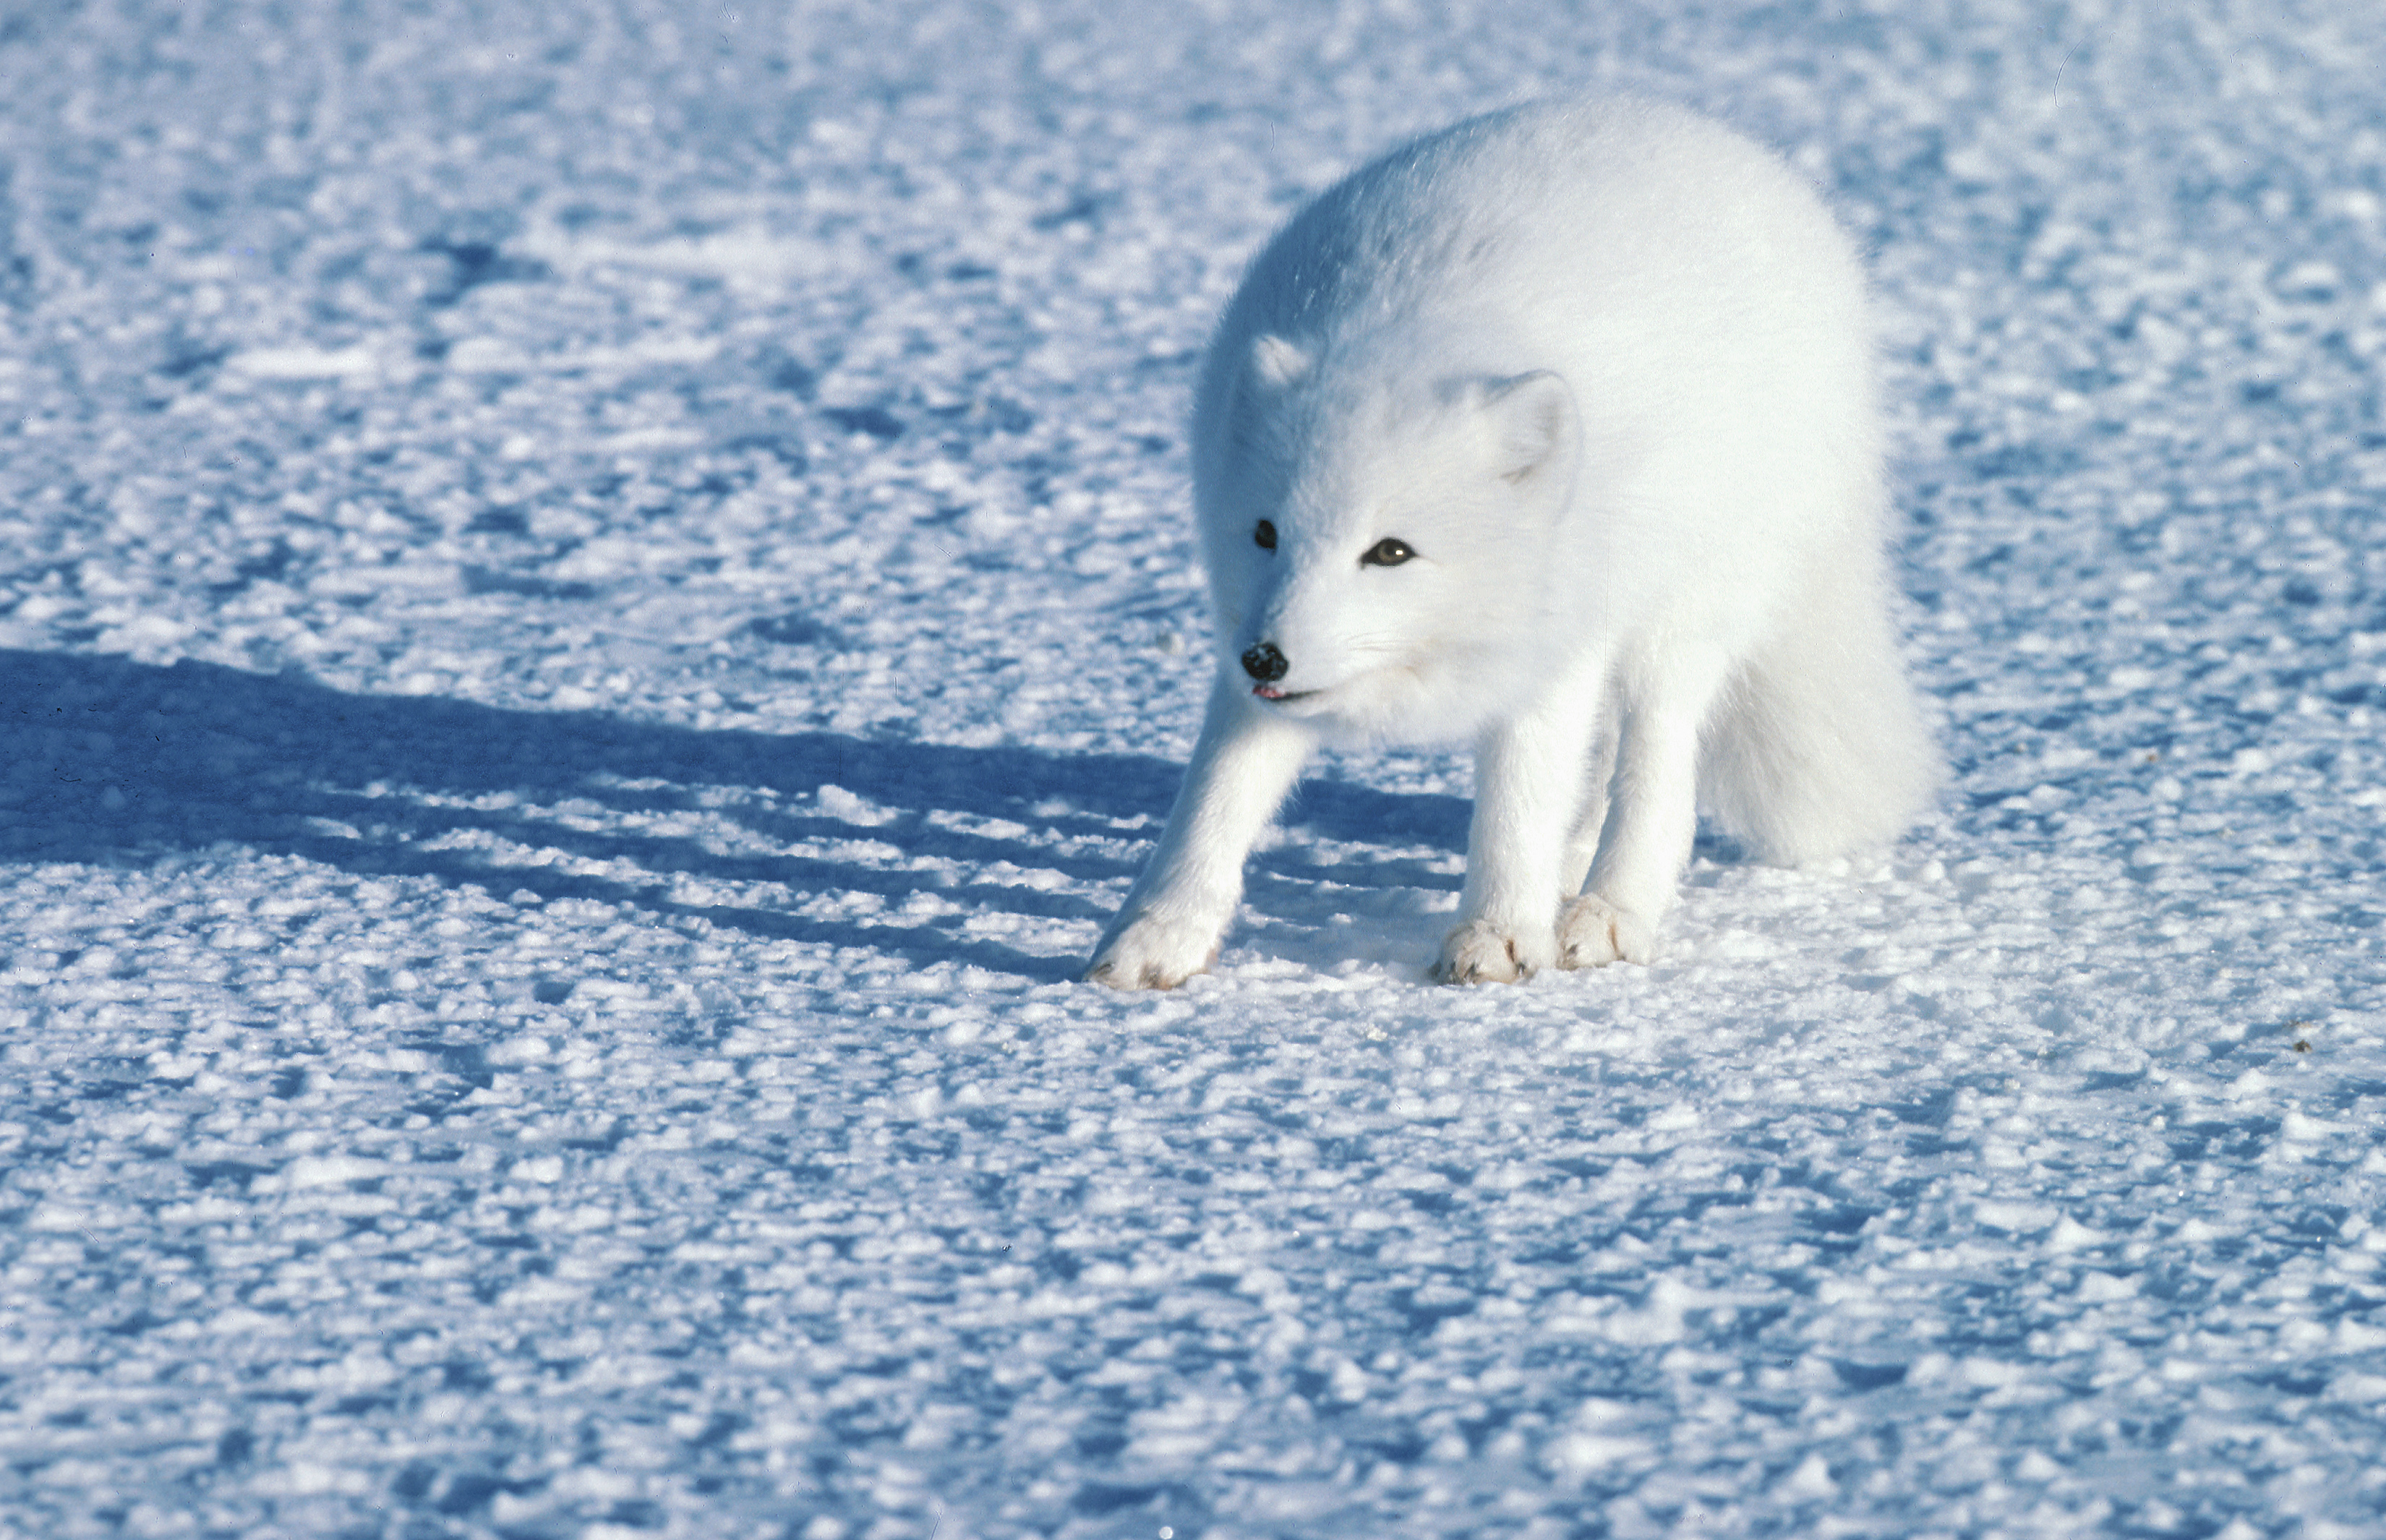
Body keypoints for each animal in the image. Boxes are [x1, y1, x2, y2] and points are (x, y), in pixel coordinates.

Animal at [1092, 99, 1928, 983]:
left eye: (1390, 552)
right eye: (1264, 532)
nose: (1266, 660)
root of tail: (1733, 145)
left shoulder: (1558, 640)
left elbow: (1519, 800)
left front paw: (1496, 936)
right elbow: (1216, 793)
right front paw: (1157, 934)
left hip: (1684, 610)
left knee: (1659, 770)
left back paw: (1610, 911)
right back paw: (1571, 868)